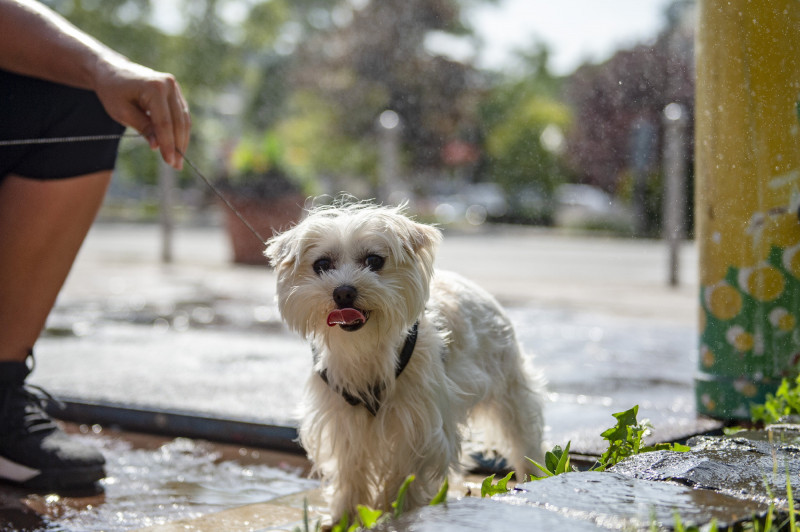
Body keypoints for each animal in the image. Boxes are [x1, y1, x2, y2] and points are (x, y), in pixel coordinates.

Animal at [266, 203, 548, 520]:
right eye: (322, 264)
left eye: (374, 260)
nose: (343, 292)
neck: (364, 347)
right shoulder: (344, 421)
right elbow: (349, 470)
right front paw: (346, 515)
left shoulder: (418, 424)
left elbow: (406, 474)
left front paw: (397, 509)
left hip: (511, 392)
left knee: (524, 438)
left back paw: (534, 478)